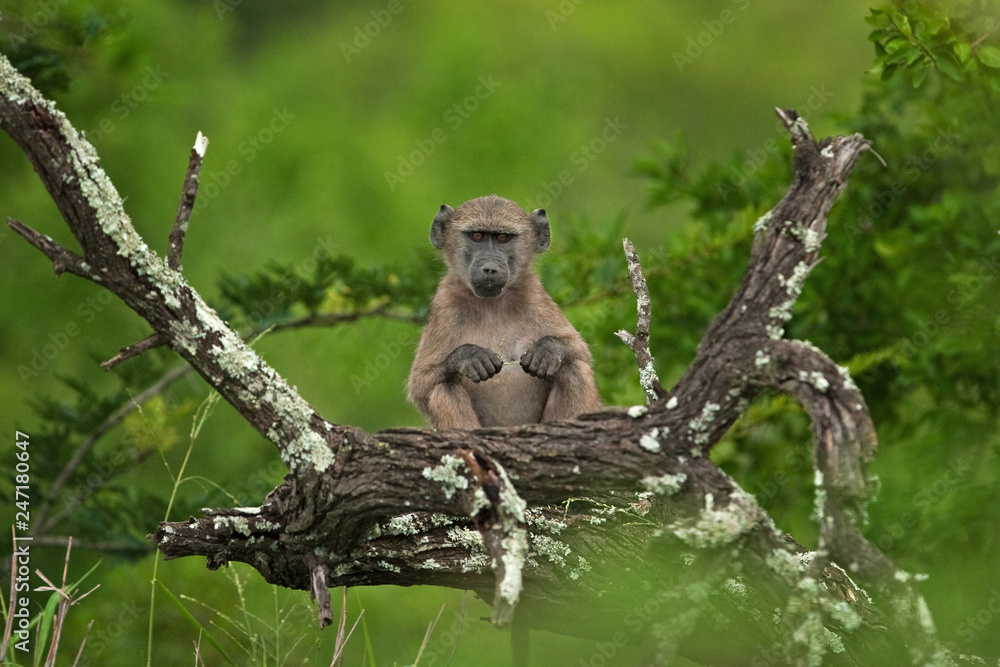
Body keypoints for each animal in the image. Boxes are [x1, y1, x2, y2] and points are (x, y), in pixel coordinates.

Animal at [407, 194, 601, 429]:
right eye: (477, 236)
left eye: (502, 237)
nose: (490, 268)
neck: (492, 304)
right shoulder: (445, 304)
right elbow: (420, 384)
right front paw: (470, 356)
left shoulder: (535, 296)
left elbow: (581, 352)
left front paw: (547, 350)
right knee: (445, 388)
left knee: (574, 370)